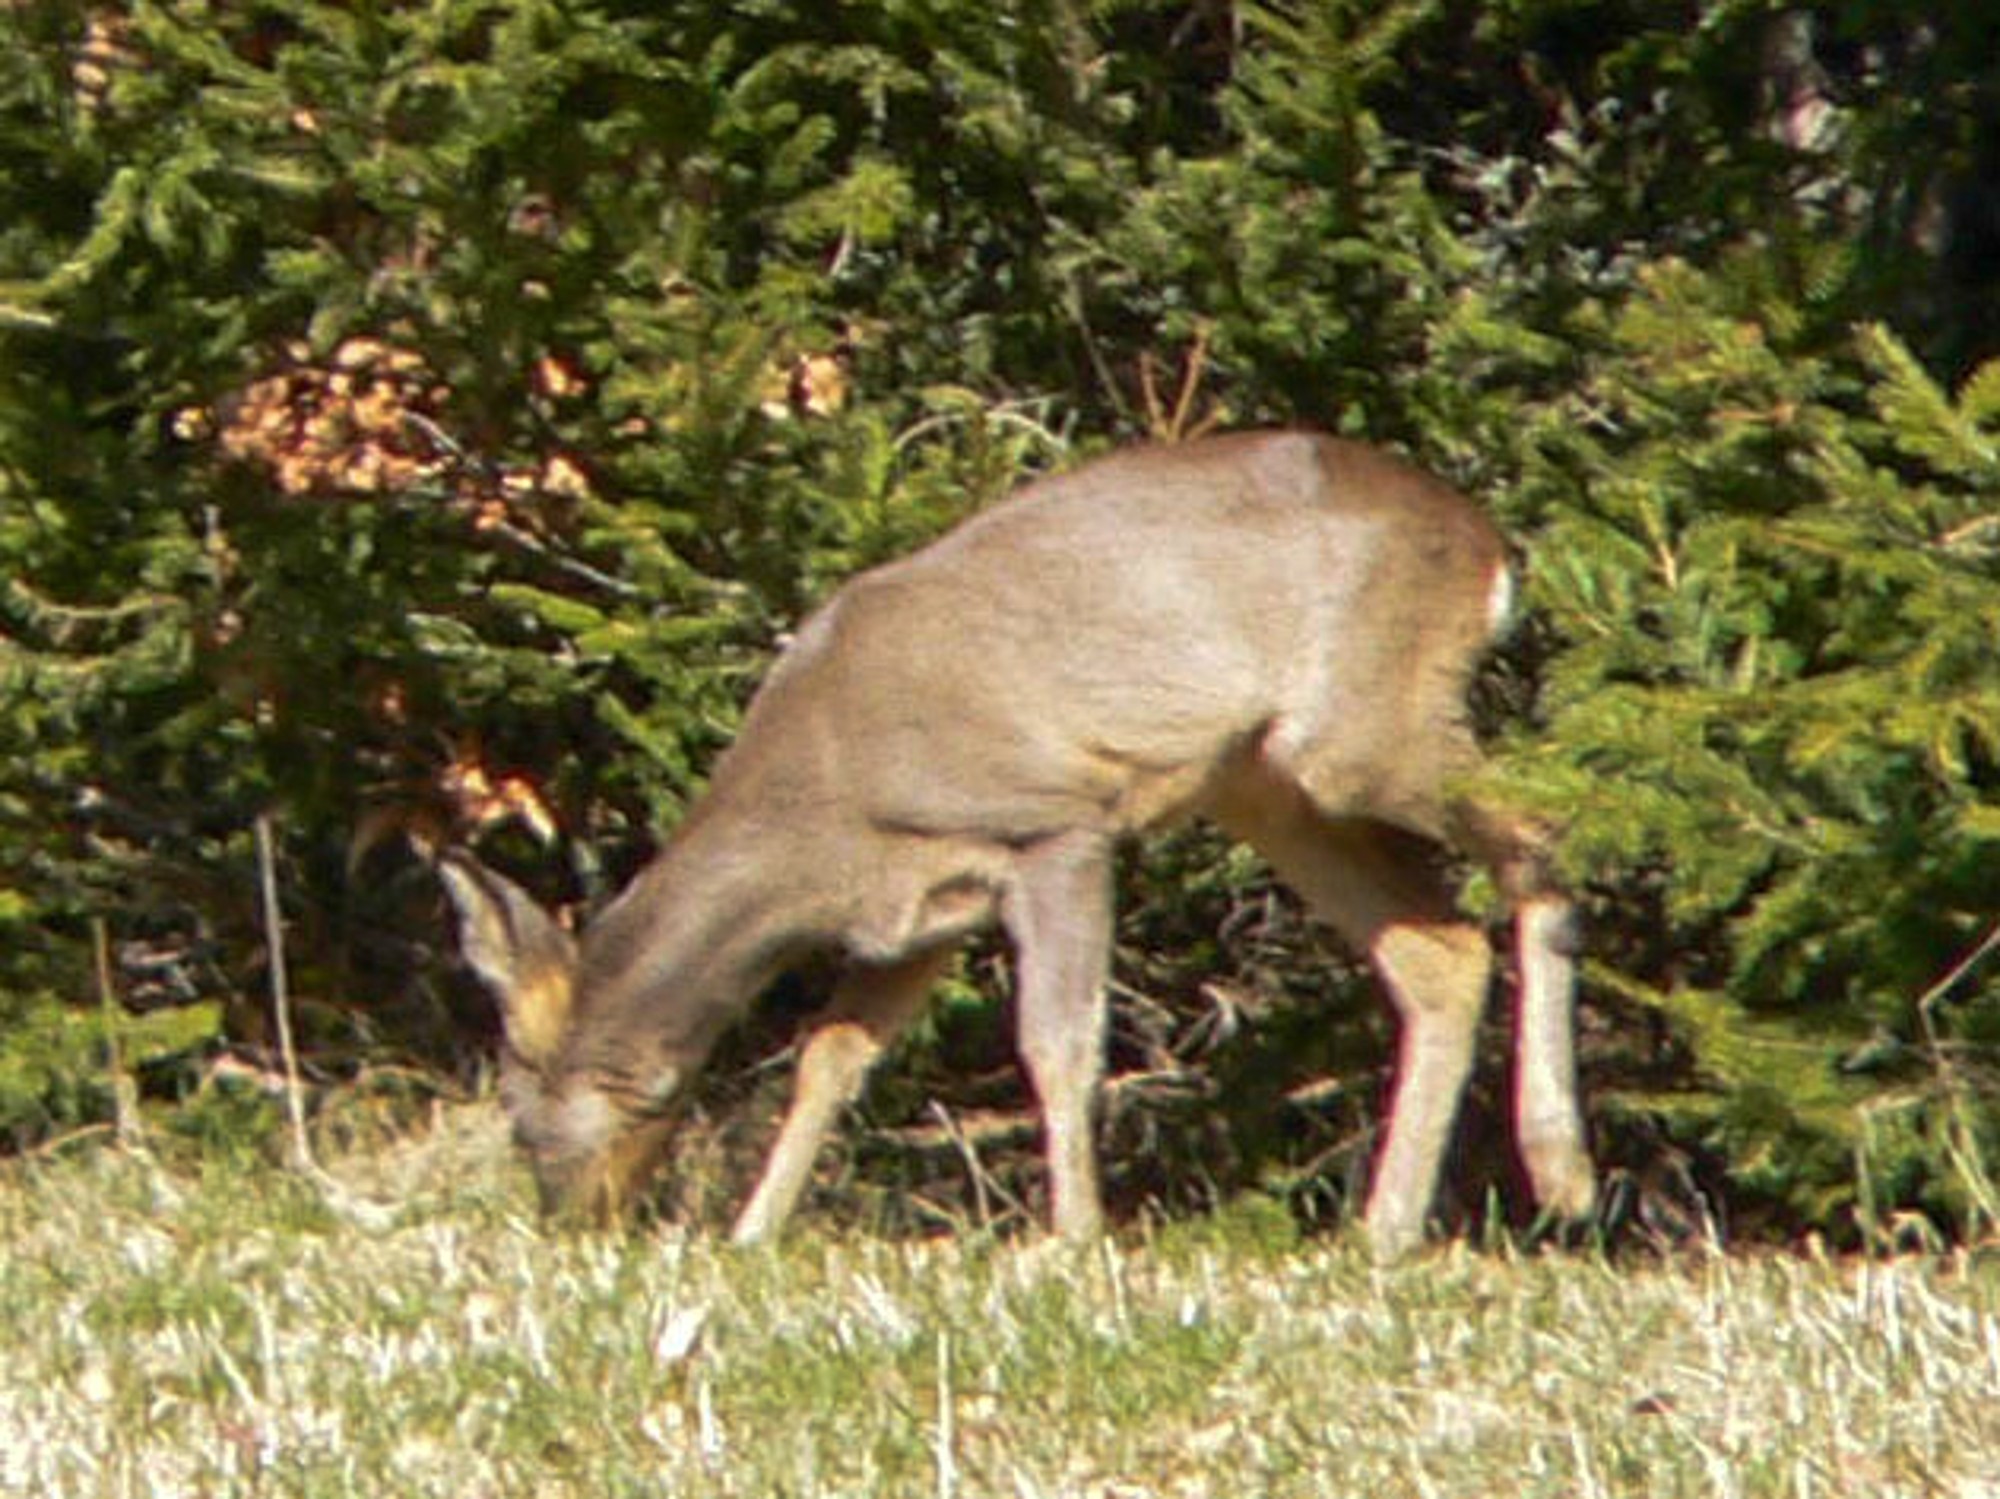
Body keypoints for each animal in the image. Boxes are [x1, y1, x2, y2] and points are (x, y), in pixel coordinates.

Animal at [438, 433, 1592, 1271]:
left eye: (517, 1117)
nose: (572, 1223)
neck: (825, 801)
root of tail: (1488, 548)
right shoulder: (917, 909)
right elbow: (829, 1058)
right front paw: (754, 1230)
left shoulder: (1056, 821)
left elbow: (1058, 1040)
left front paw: (1073, 1237)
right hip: (1263, 783)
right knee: (1438, 949)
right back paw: (1387, 1228)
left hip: (1357, 733)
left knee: (1546, 832)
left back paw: (1560, 1167)